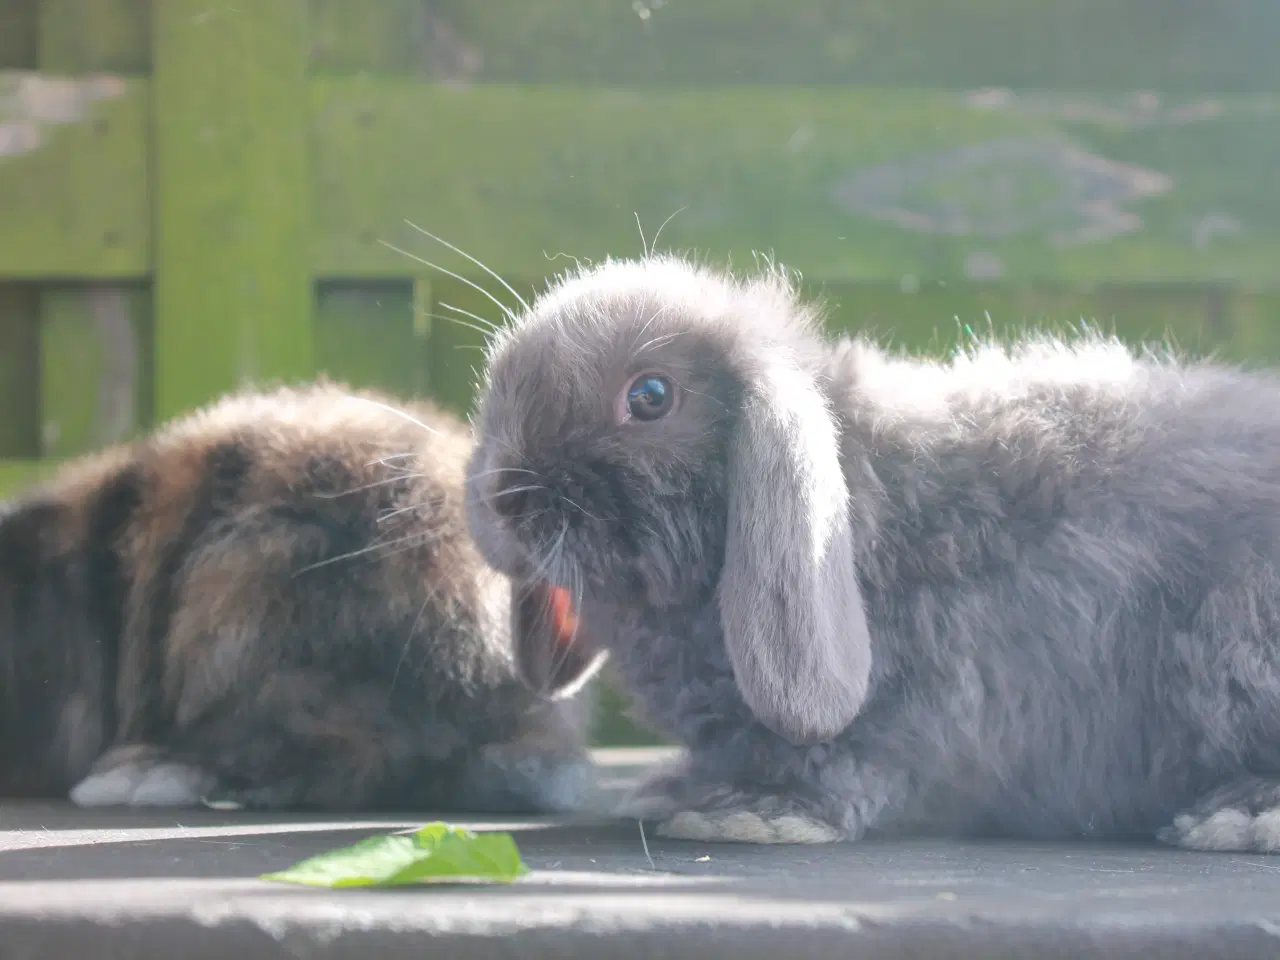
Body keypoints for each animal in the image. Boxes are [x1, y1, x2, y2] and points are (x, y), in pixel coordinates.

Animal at [471, 252, 1280, 855]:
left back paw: (1241, 815)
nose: (502, 498)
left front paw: (753, 812)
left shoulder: (906, 700)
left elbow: (849, 761)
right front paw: (671, 789)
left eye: (649, 396)